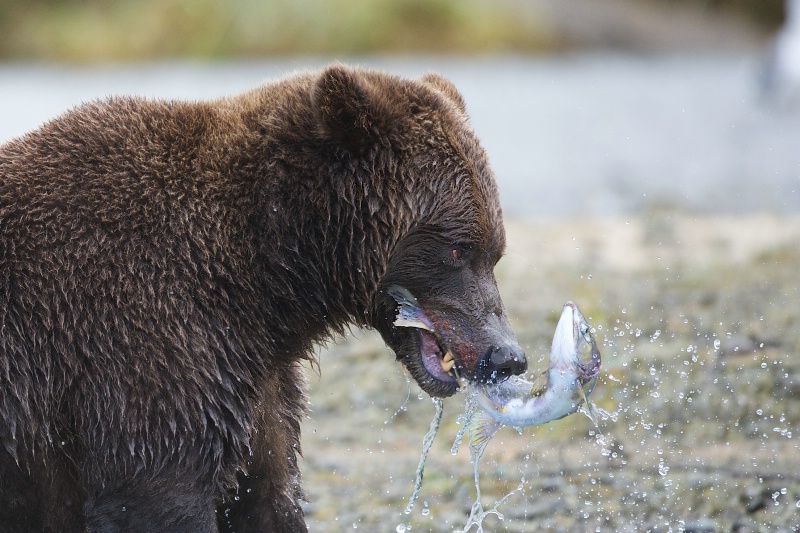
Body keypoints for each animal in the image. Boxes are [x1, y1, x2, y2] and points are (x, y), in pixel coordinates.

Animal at [0, 64, 528, 528]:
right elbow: (158, 491)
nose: (507, 355)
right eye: (458, 249)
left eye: (495, 251)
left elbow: (267, 493)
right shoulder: (141, 343)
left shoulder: (256, 386)